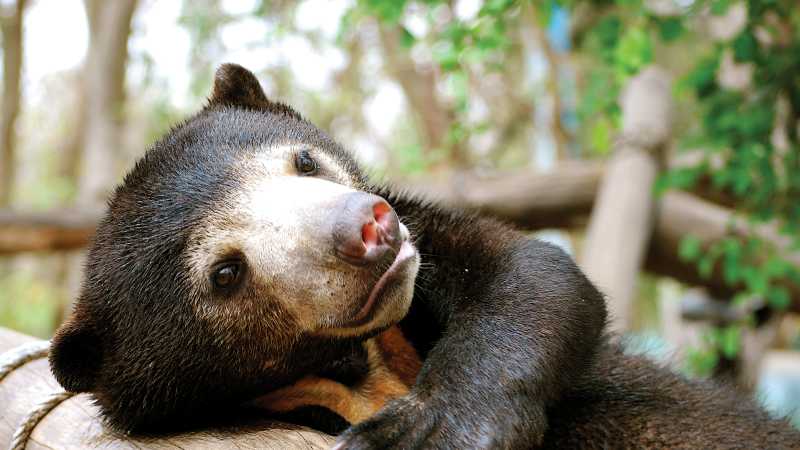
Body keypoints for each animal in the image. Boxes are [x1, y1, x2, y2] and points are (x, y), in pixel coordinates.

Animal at [48, 64, 800, 449]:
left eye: (304, 162)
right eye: (225, 273)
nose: (367, 230)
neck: (369, 363)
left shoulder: (434, 240)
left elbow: (536, 278)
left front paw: (434, 430)